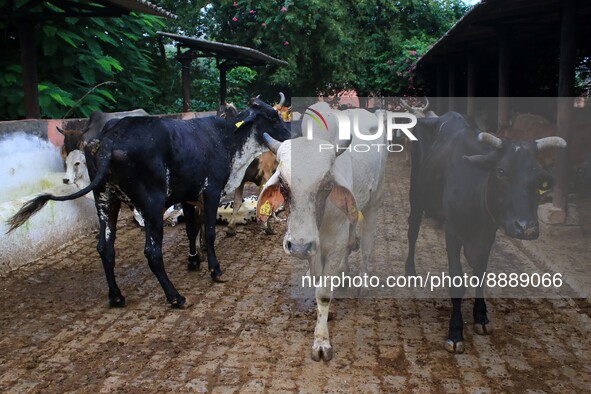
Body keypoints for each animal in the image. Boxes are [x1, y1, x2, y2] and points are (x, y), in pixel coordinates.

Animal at [6, 99, 294, 308]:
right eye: (273, 116)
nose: (291, 134)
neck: (226, 138)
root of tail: (110, 138)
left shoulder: (187, 196)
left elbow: (192, 229)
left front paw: (193, 261)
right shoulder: (211, 191)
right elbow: (210, 233)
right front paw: (215, 270)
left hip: (105, 198)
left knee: (105, 248)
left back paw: (116, 296)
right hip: (152, 203)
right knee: (152, 252)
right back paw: (175, 297)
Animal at [258, 104, 388, 360]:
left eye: (327, 185)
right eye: (283, 185)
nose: (298, 246)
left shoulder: (332, 242)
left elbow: (324, 292)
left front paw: (321, 342)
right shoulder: (314, 247)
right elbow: (318, 280)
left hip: (373, 203)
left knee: (367, 245)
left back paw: (363, 282)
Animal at [404, 111, 568, 354]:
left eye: (539, 177)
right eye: (501, 172)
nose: (526, 227)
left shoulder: (489, 234)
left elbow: (480, 274)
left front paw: (481, 318)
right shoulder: (453, 232)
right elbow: (457, 282)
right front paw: (455, 333)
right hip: (416, 194)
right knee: (413, 229)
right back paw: (410, 270)